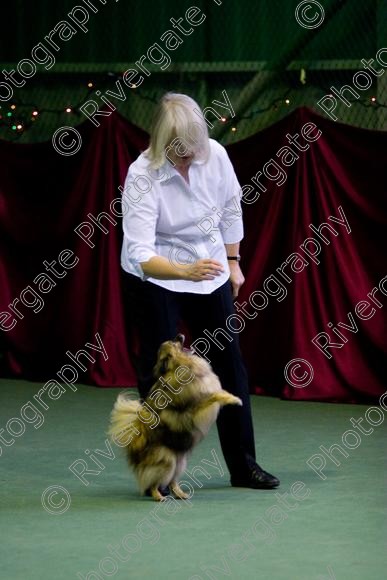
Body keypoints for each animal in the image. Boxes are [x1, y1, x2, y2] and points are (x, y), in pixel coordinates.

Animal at [108, 334, 242, 500]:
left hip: (179, 463)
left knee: (172, 482)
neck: (180, 367)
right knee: (154, 482)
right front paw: (235, 399)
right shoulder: (196, 408)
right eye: (174, 343)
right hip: (168, 461)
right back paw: (159, 496)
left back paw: (181, 494)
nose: (180, 335)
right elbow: (215, 395)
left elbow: (217, 392)